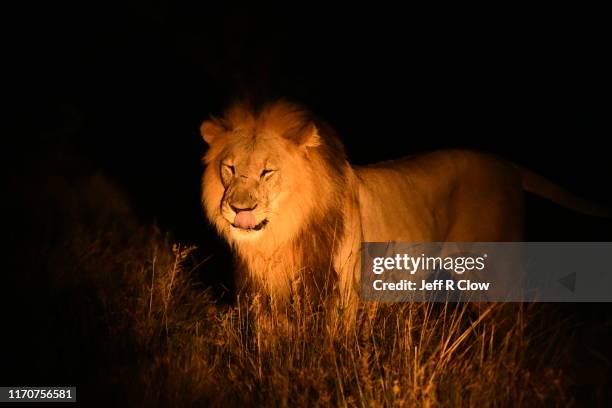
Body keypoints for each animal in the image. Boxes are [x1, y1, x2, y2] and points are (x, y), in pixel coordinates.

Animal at [200, 99, 608, 318]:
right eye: (229, 168)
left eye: (267, 171)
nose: (238, 208)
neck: (282, 233)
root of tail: (507, 164)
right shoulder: (263, 295)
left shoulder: (344, 294)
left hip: (497, 270)